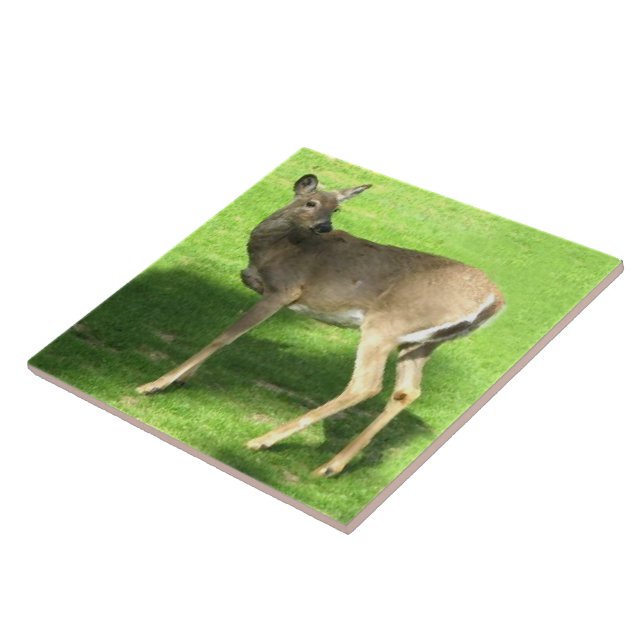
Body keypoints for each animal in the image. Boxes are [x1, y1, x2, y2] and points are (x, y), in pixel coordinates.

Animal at [137, 174, 504, 476]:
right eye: (311, 202)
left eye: (336, 209)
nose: (324, 227)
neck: (277, 248)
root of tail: (494, 300)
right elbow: (235, 334)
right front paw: (184, 379)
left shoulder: (284, 290)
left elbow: (225, 336)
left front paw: (156, 384)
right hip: (422, 343)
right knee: (406, 391)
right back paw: (330, 467)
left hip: (385, 325)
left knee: (365, 385)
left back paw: (263, 441)